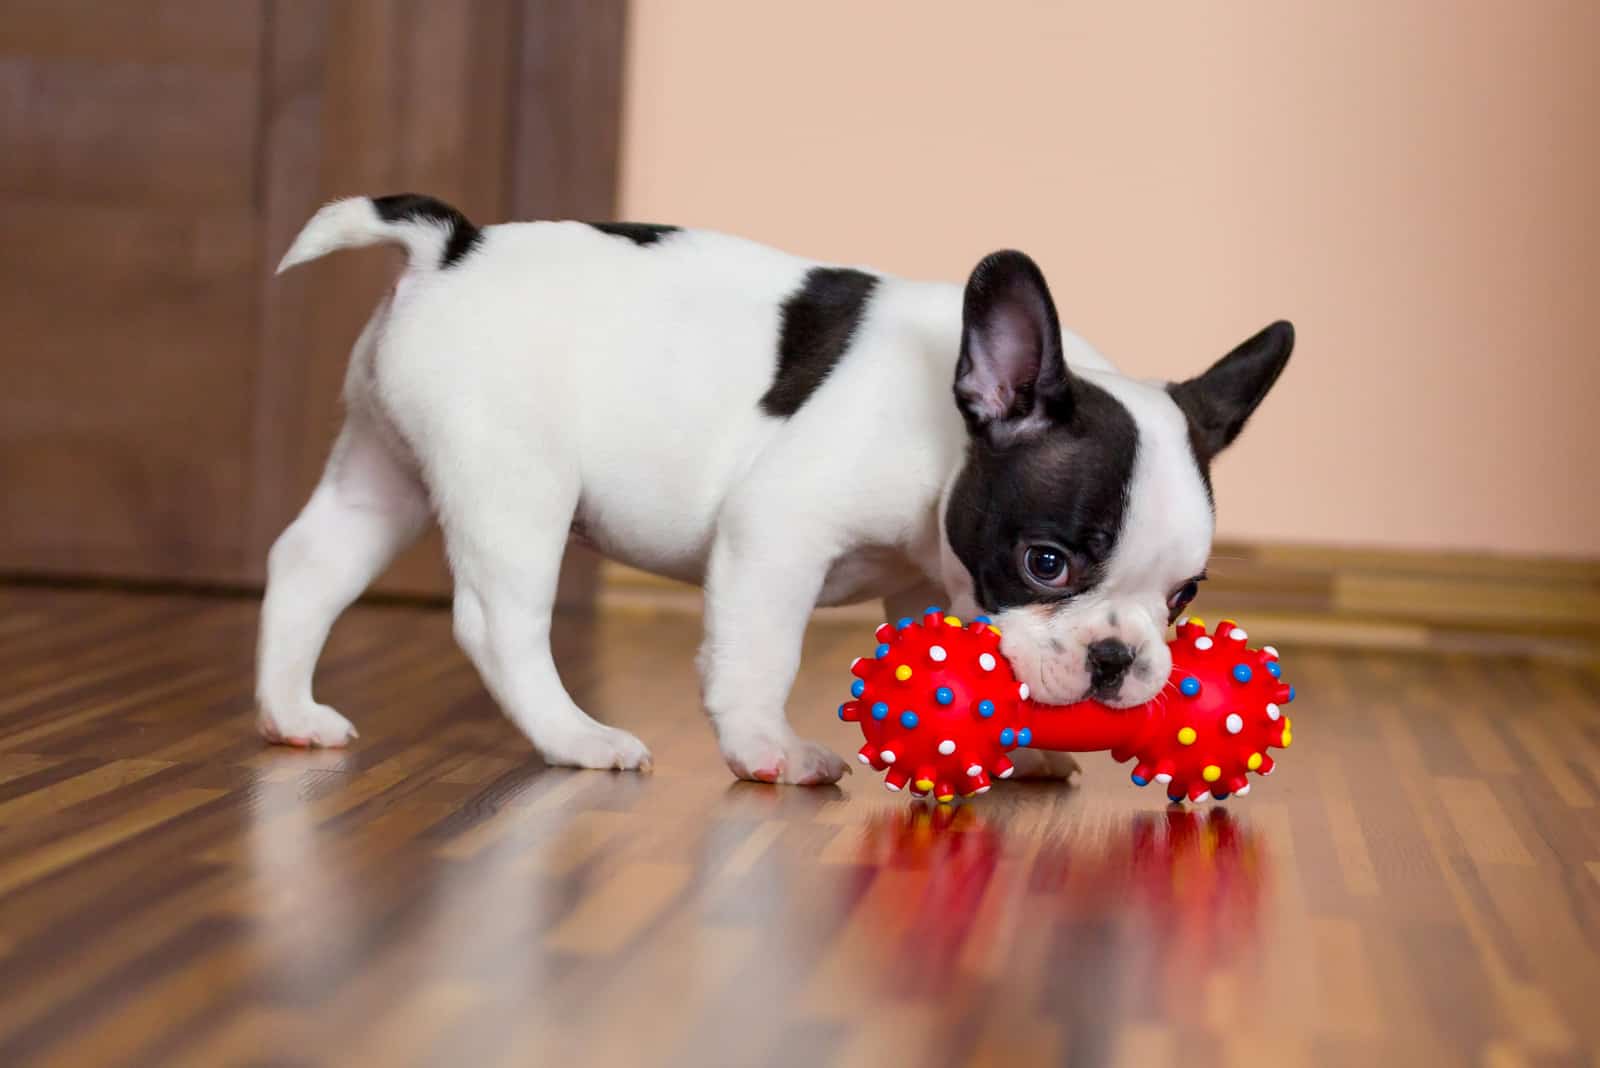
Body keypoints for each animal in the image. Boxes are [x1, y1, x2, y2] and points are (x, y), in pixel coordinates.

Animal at [256, 194, 1292, 783]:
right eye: (1047, 563)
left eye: (1183, 596)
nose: (1120, 659)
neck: (944, 425)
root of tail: (452, 248)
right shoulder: (778, 532)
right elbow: (759, 656)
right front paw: (767, 751)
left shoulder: (930, 572)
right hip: (515, 484)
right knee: (495, 624)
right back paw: (577, 738)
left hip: (384, 467)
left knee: (308, 564)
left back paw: (290, 715)